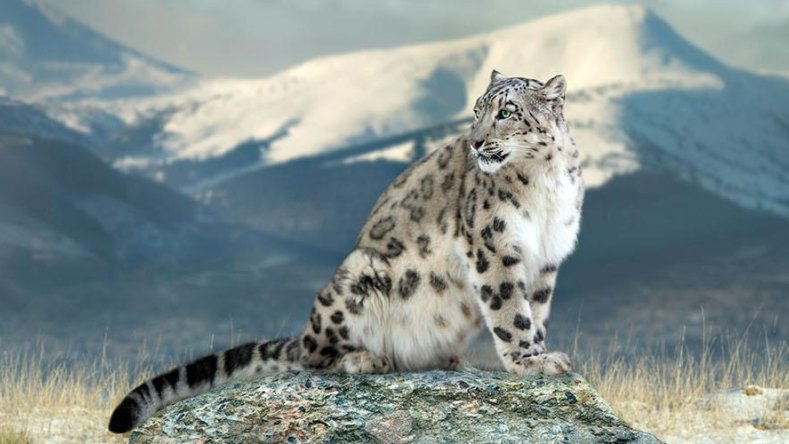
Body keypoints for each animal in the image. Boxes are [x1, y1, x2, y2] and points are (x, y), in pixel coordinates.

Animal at [108, 70, 584, 434]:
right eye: (476, 110)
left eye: (506, 112)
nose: (476, 142)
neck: (545, 186)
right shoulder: (492, 245)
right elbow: (510, 310)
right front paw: (528, 360)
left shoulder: (547, 258)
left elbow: (535, 309)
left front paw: (542, 353)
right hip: (359, 277)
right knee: (313, 357)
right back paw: (367, 358)